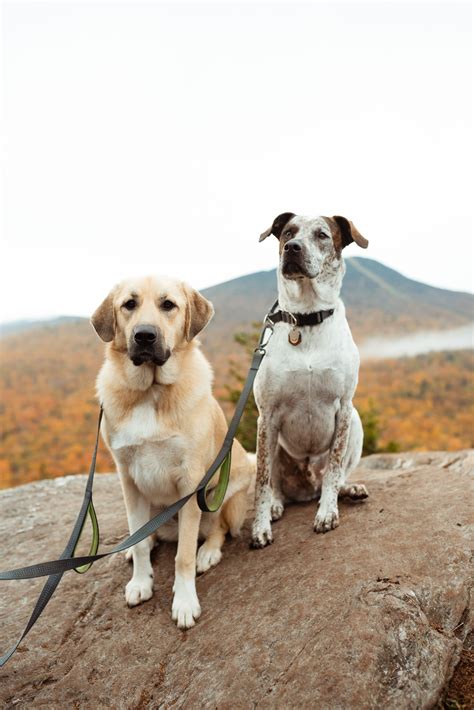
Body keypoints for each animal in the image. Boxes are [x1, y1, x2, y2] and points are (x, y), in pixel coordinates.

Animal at [92, 276, 256, 632]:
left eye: (168, 305)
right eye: (129, 304)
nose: (144, 336)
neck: (150, 391)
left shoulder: (190, 484)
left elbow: (183, 555)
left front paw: (184, 602)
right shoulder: (129, 480)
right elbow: (140, 542)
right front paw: (141, 581)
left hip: (227, 490)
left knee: (219, 529)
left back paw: (208, 552)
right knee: (145, 533)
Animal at [252, 213, 370, 552]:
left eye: (322, 234)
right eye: (288, 232)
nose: (292, 248)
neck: (305, 320)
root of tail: (306, 488)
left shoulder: (344, 408)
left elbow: (334, 467)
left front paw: (327, 513)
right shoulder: (266, 415)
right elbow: (262, 481)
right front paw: (260, 528)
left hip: (357, 423)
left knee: (335, 477)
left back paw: (348, 490)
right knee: (275, 483)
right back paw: (277, 504)